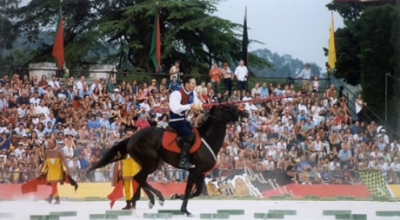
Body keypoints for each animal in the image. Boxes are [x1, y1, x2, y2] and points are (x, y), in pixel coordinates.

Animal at [88, 104, 247, 215]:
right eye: (228, 107)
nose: (245, 113)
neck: (207, 139)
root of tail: (131, 138)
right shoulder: (194, 171)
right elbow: (189, 189)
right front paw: (184, 209)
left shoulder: (201, 172)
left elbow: (197, 191)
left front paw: (177, 196)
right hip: (150, 163)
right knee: (139, 178)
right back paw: (156, 198)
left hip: (153, 163)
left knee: (141, 179)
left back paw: (151, 199)